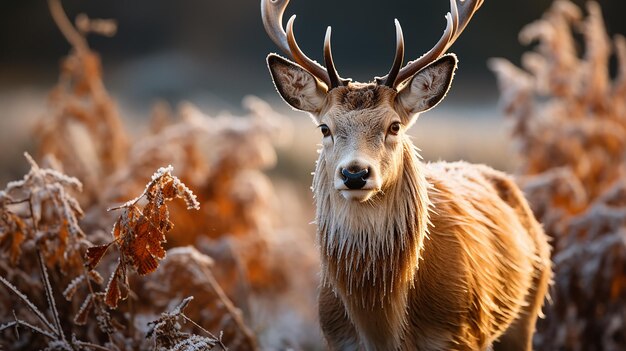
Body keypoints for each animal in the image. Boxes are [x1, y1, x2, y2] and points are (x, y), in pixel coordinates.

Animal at [260, 0, 548, 350]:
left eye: (394, 126)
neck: (382, 327)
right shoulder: (335, 337)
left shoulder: (464, 335)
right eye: (324, 127)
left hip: (528, 310)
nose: (355, 174)